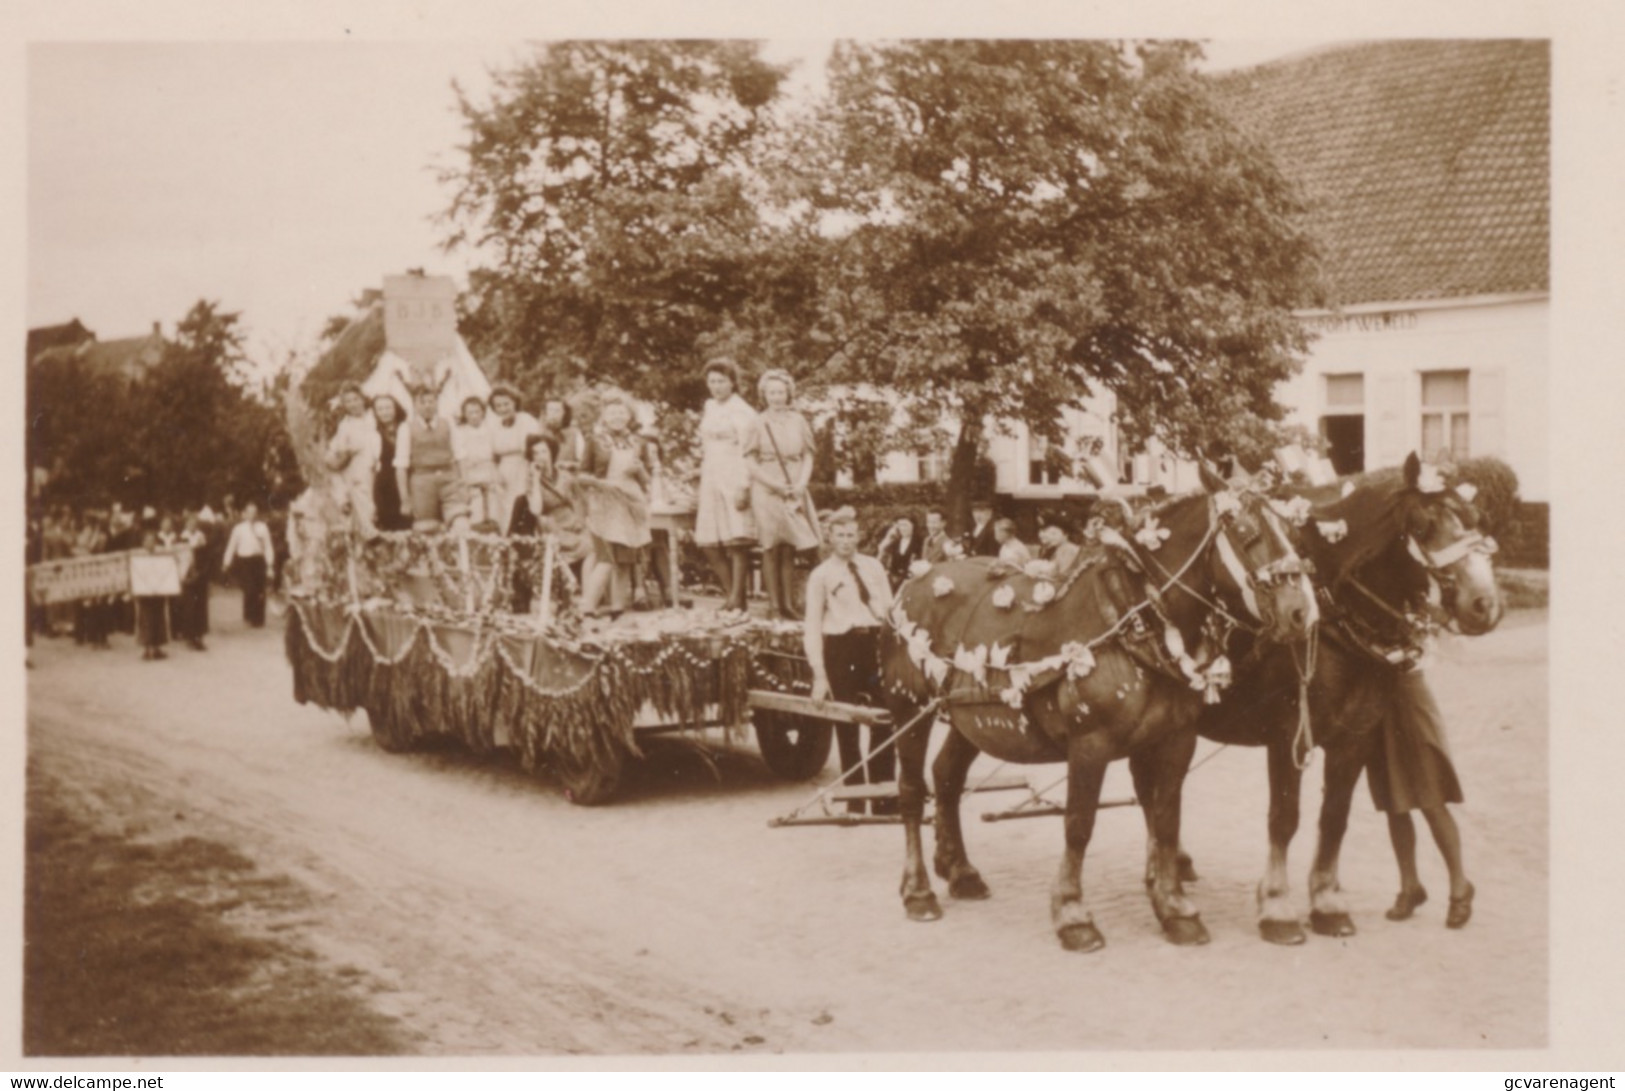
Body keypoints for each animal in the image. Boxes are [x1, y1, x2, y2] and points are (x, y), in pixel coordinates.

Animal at [877, 468, 1319, 956]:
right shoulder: (1090, 744)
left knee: (947, 777)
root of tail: (916, 580)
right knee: (912, 791)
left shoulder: (1176, 739)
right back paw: (918, 891)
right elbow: (1079, 824)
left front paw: (1176, 911)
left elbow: (1166, 821)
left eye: (1295, 531)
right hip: (908, 709)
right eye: (1245, 532)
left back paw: (961, 872)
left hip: (969, 719)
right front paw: (1073, 915)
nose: (1300, 612)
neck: (1138, 618)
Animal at [1189, 452, 1501, 949]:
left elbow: (1334, 817)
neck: (1332, 615)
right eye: (1422, 523)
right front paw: (1277, 907)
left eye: (1476, 518)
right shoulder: (1288, 738)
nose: (1483, 604)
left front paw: (1326, 902)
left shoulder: (1355, 736)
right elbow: (1285, 818)